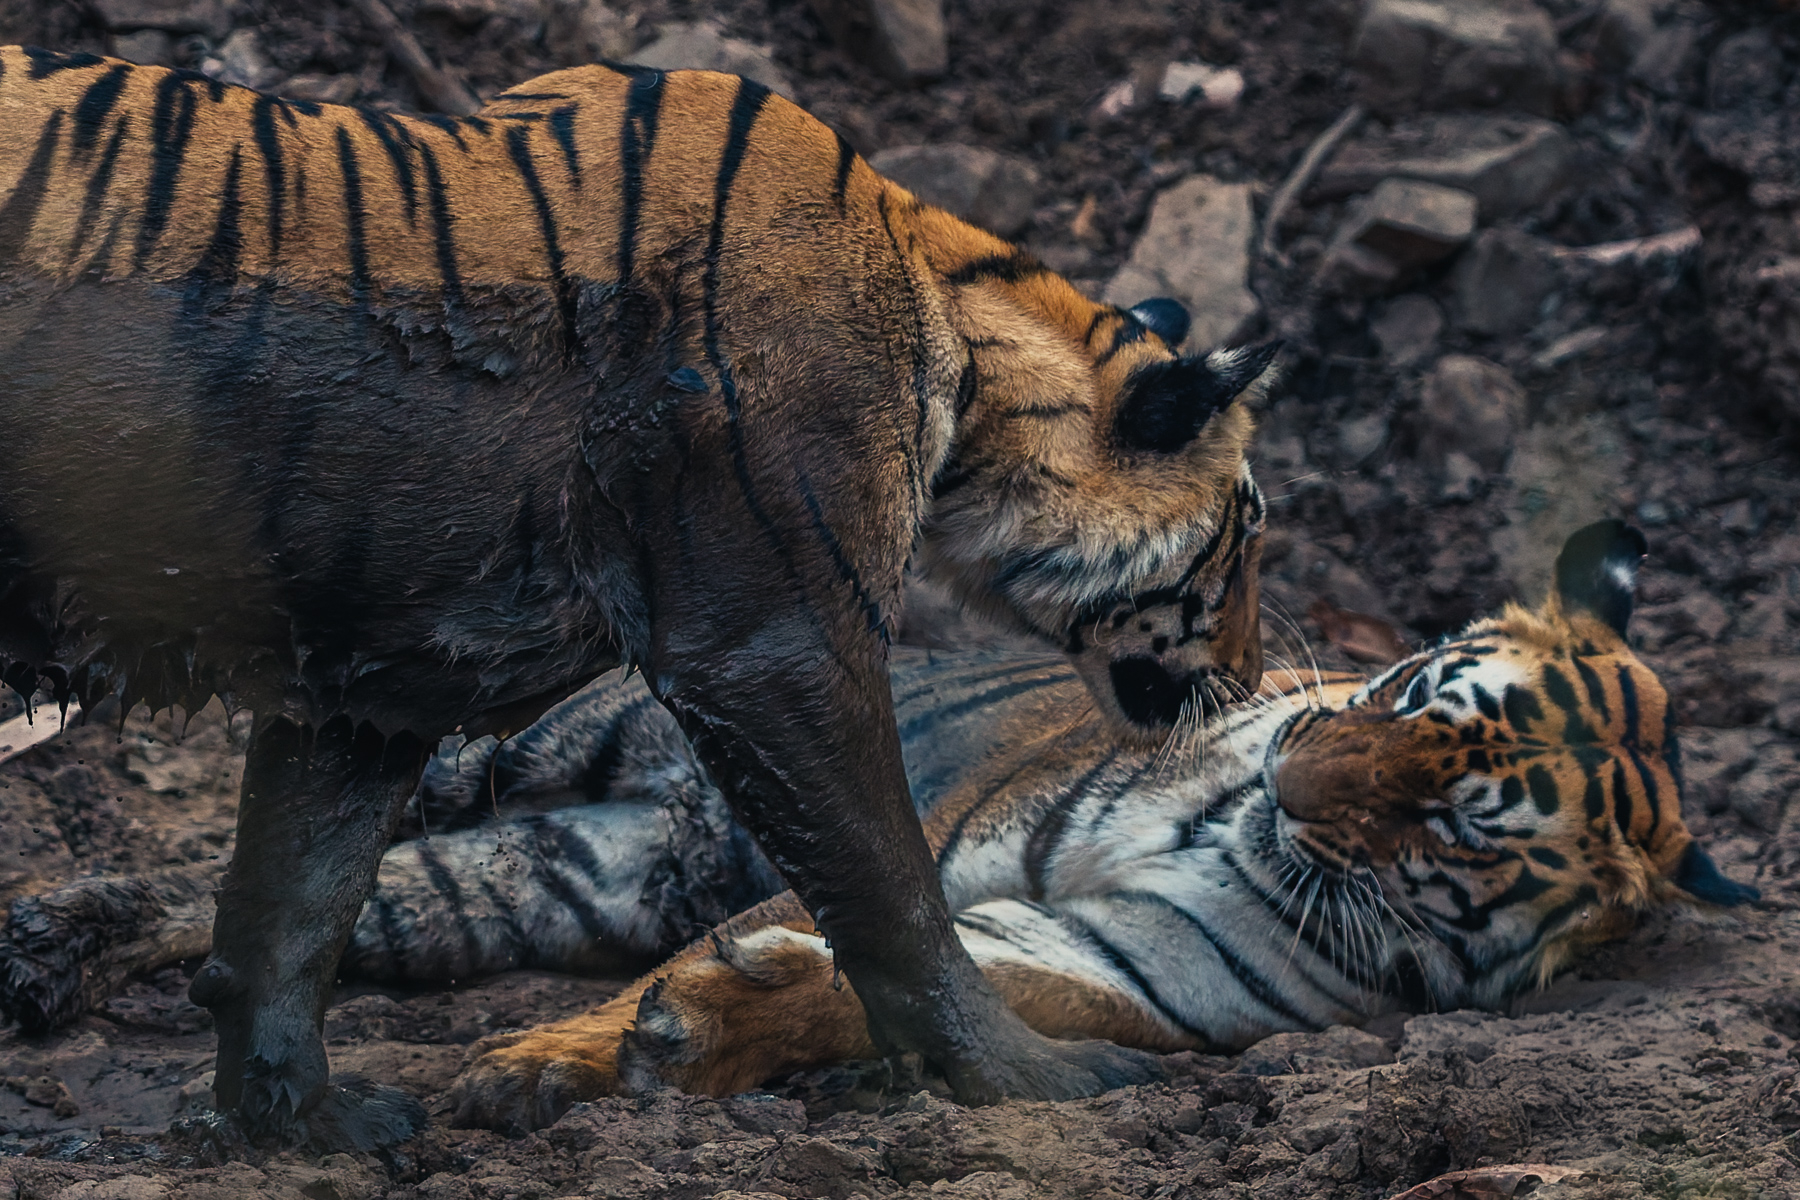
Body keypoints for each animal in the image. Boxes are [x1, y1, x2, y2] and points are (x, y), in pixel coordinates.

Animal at [0, 46, 1276, 1144]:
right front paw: (1032, 1081)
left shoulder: (378, 676)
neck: (960, 341)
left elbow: (297, 898)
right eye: (1250, 529)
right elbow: (893, 891)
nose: (1254, 680)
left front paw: (303, 1125)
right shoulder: (777, 645)